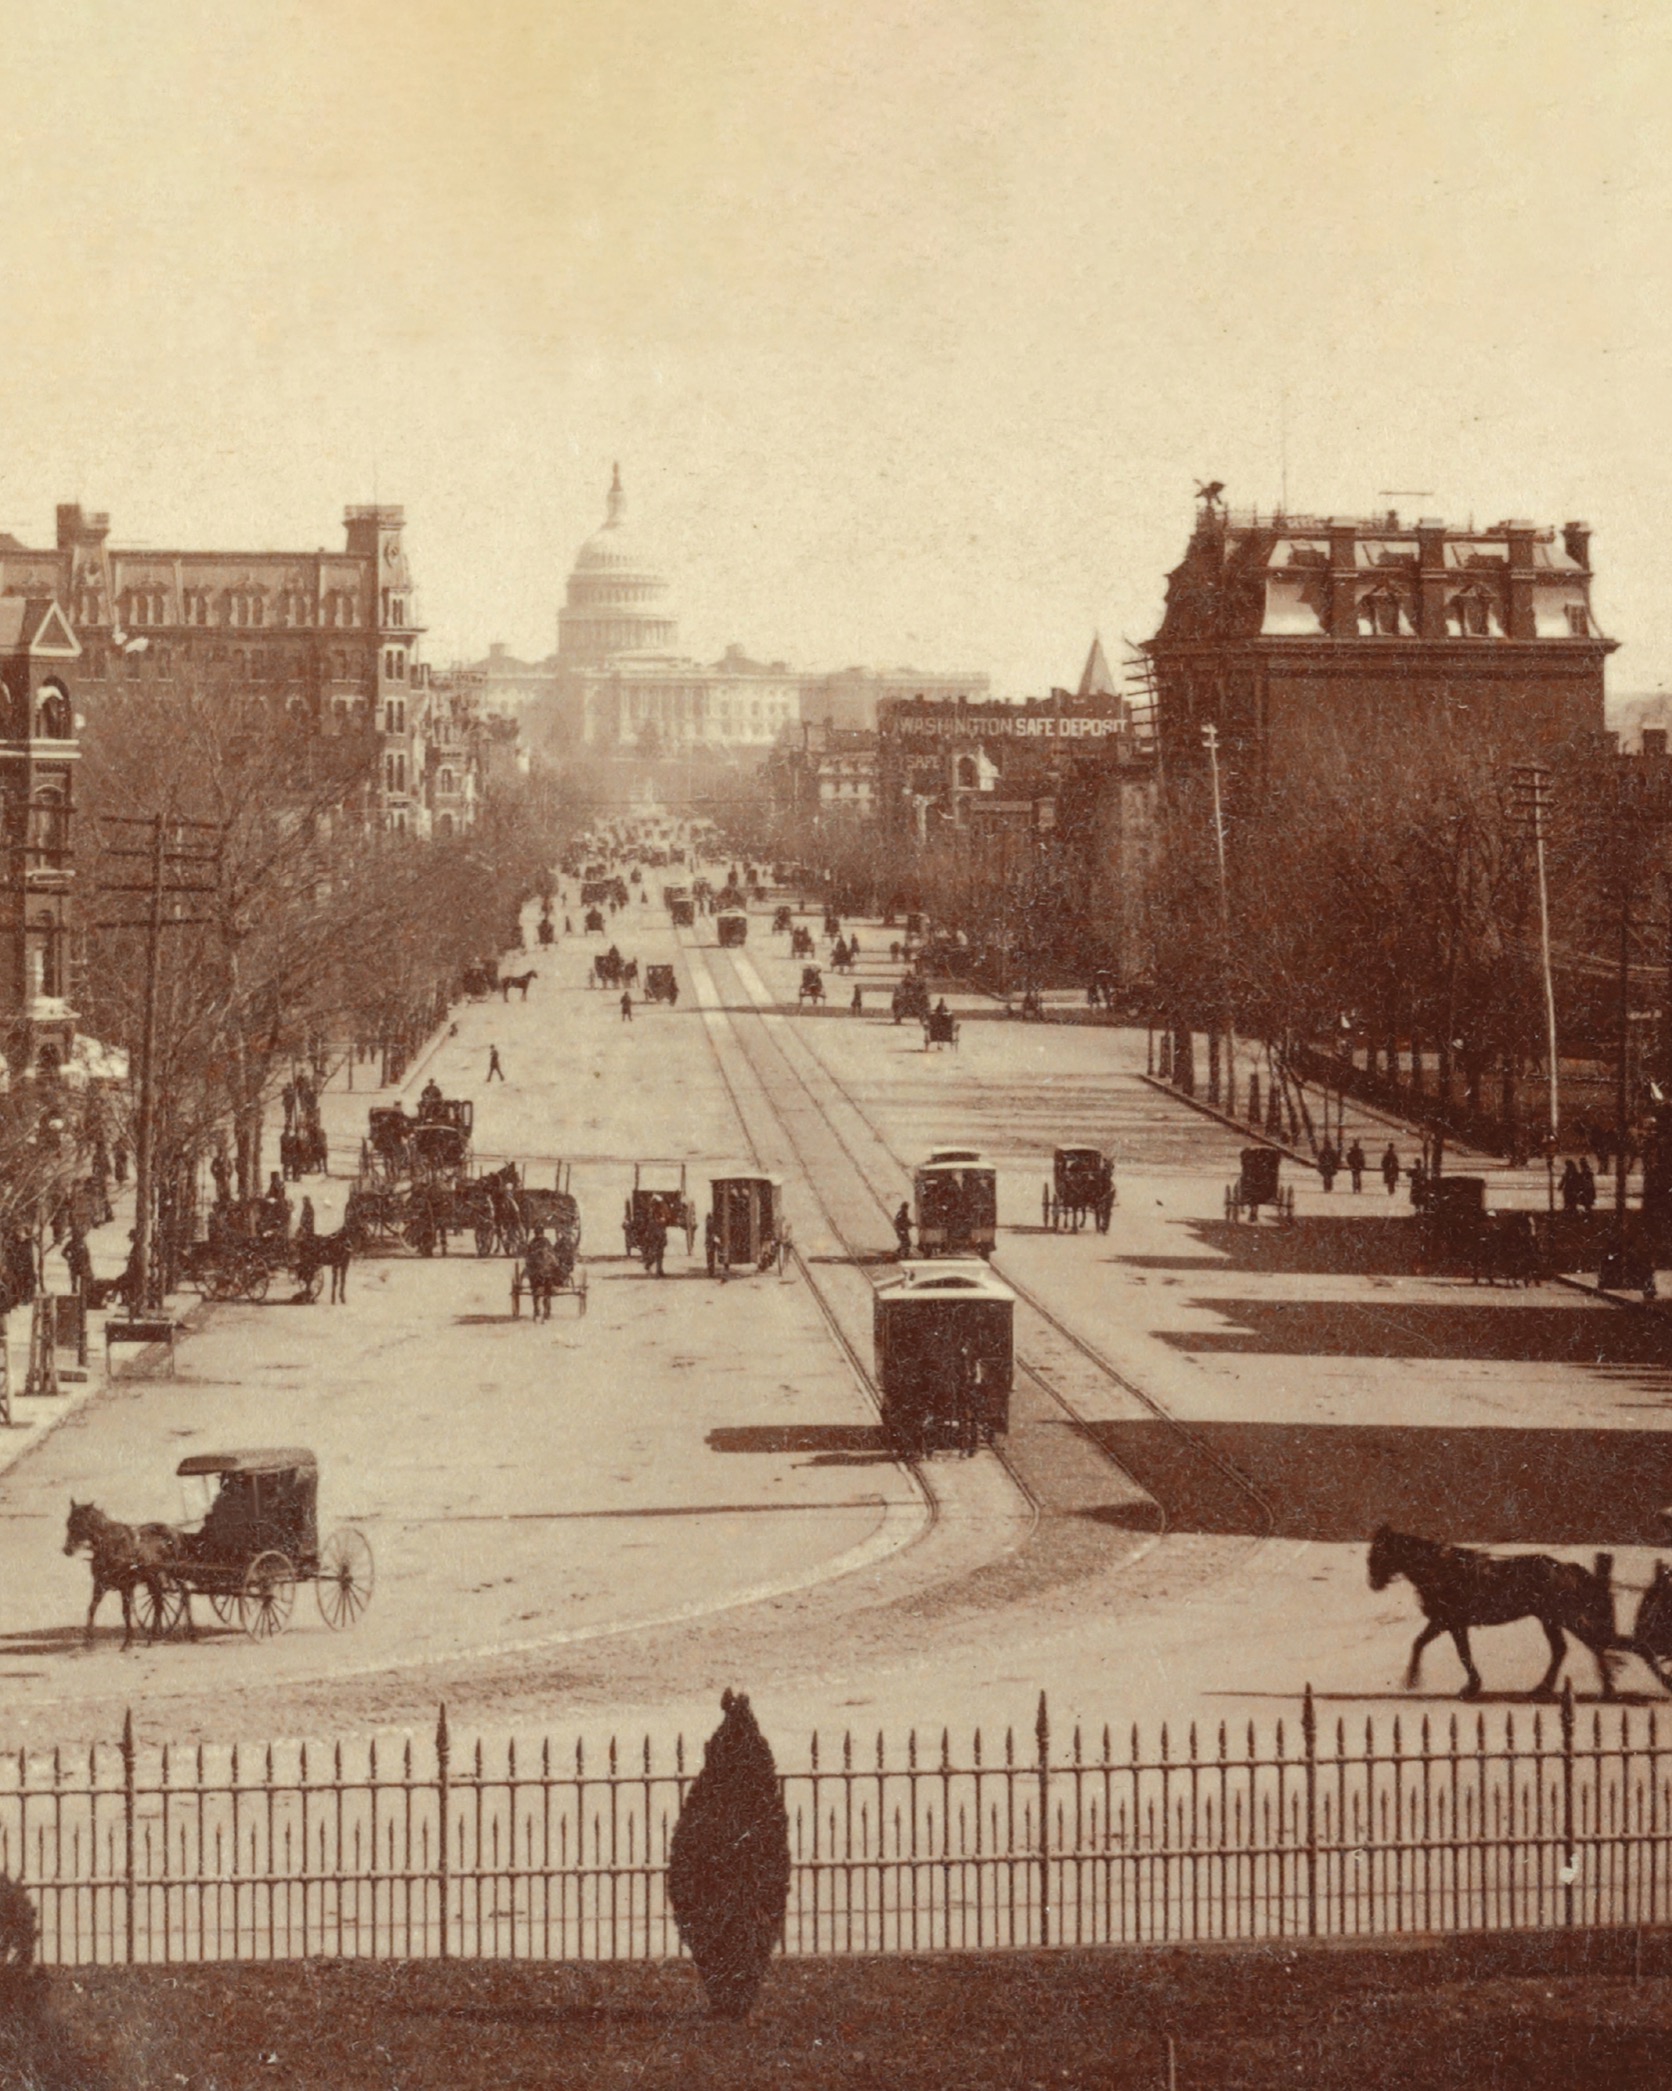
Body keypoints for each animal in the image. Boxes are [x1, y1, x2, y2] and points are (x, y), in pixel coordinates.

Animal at [1362, 1522, 1655, 1697]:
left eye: (1377, 1554)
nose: (1373, 1584)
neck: (1439, 1569)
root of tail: (1566, 1568)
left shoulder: (1449, 1621)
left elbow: (1446, 1650)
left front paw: (1415, 1680)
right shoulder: (1451, 1623)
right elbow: (1440, 1647)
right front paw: (1468, 1684)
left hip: (1564, 1617)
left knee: (1593, 1645)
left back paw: (1605, 1687)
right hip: (1550, 1619)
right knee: (1563, 1649)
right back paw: (1546, 1687)